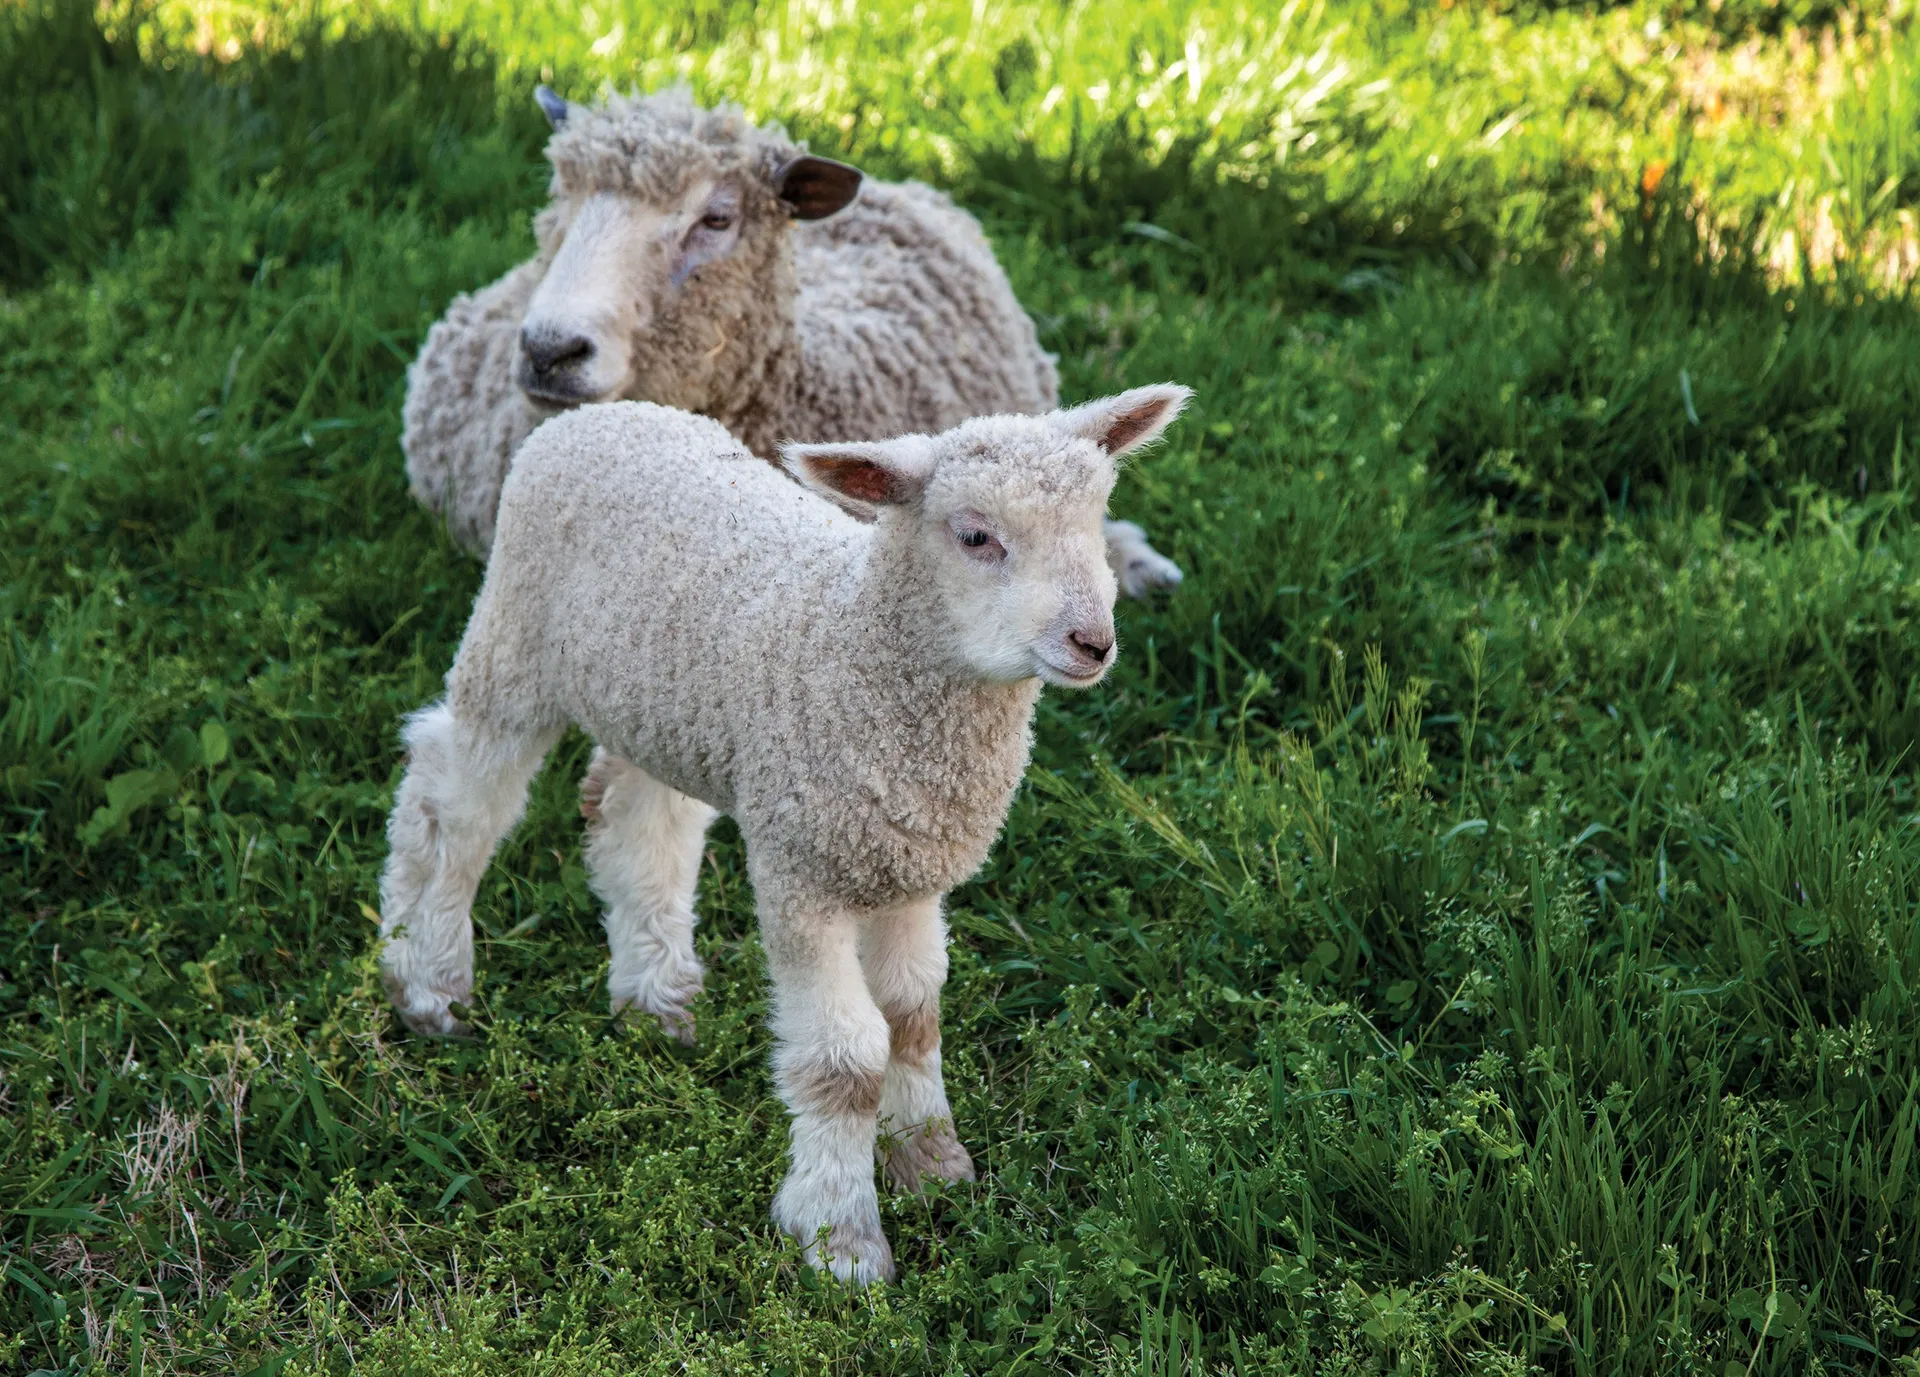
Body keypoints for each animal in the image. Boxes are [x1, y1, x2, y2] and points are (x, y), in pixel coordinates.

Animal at [376, 384, 1191, 1284]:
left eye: (1098, 517)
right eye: (976, 536)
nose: (1093, 642)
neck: (859, 646)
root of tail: (607, 412)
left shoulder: (905, 863)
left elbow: (913, 1015)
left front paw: (930, 1162)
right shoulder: (804, 869)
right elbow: (846, 1060)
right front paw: (842, 1239)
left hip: (664, 705)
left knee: (637, 817)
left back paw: (655, 995)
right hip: (513, 640)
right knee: (452, 797)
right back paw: (427, 977)